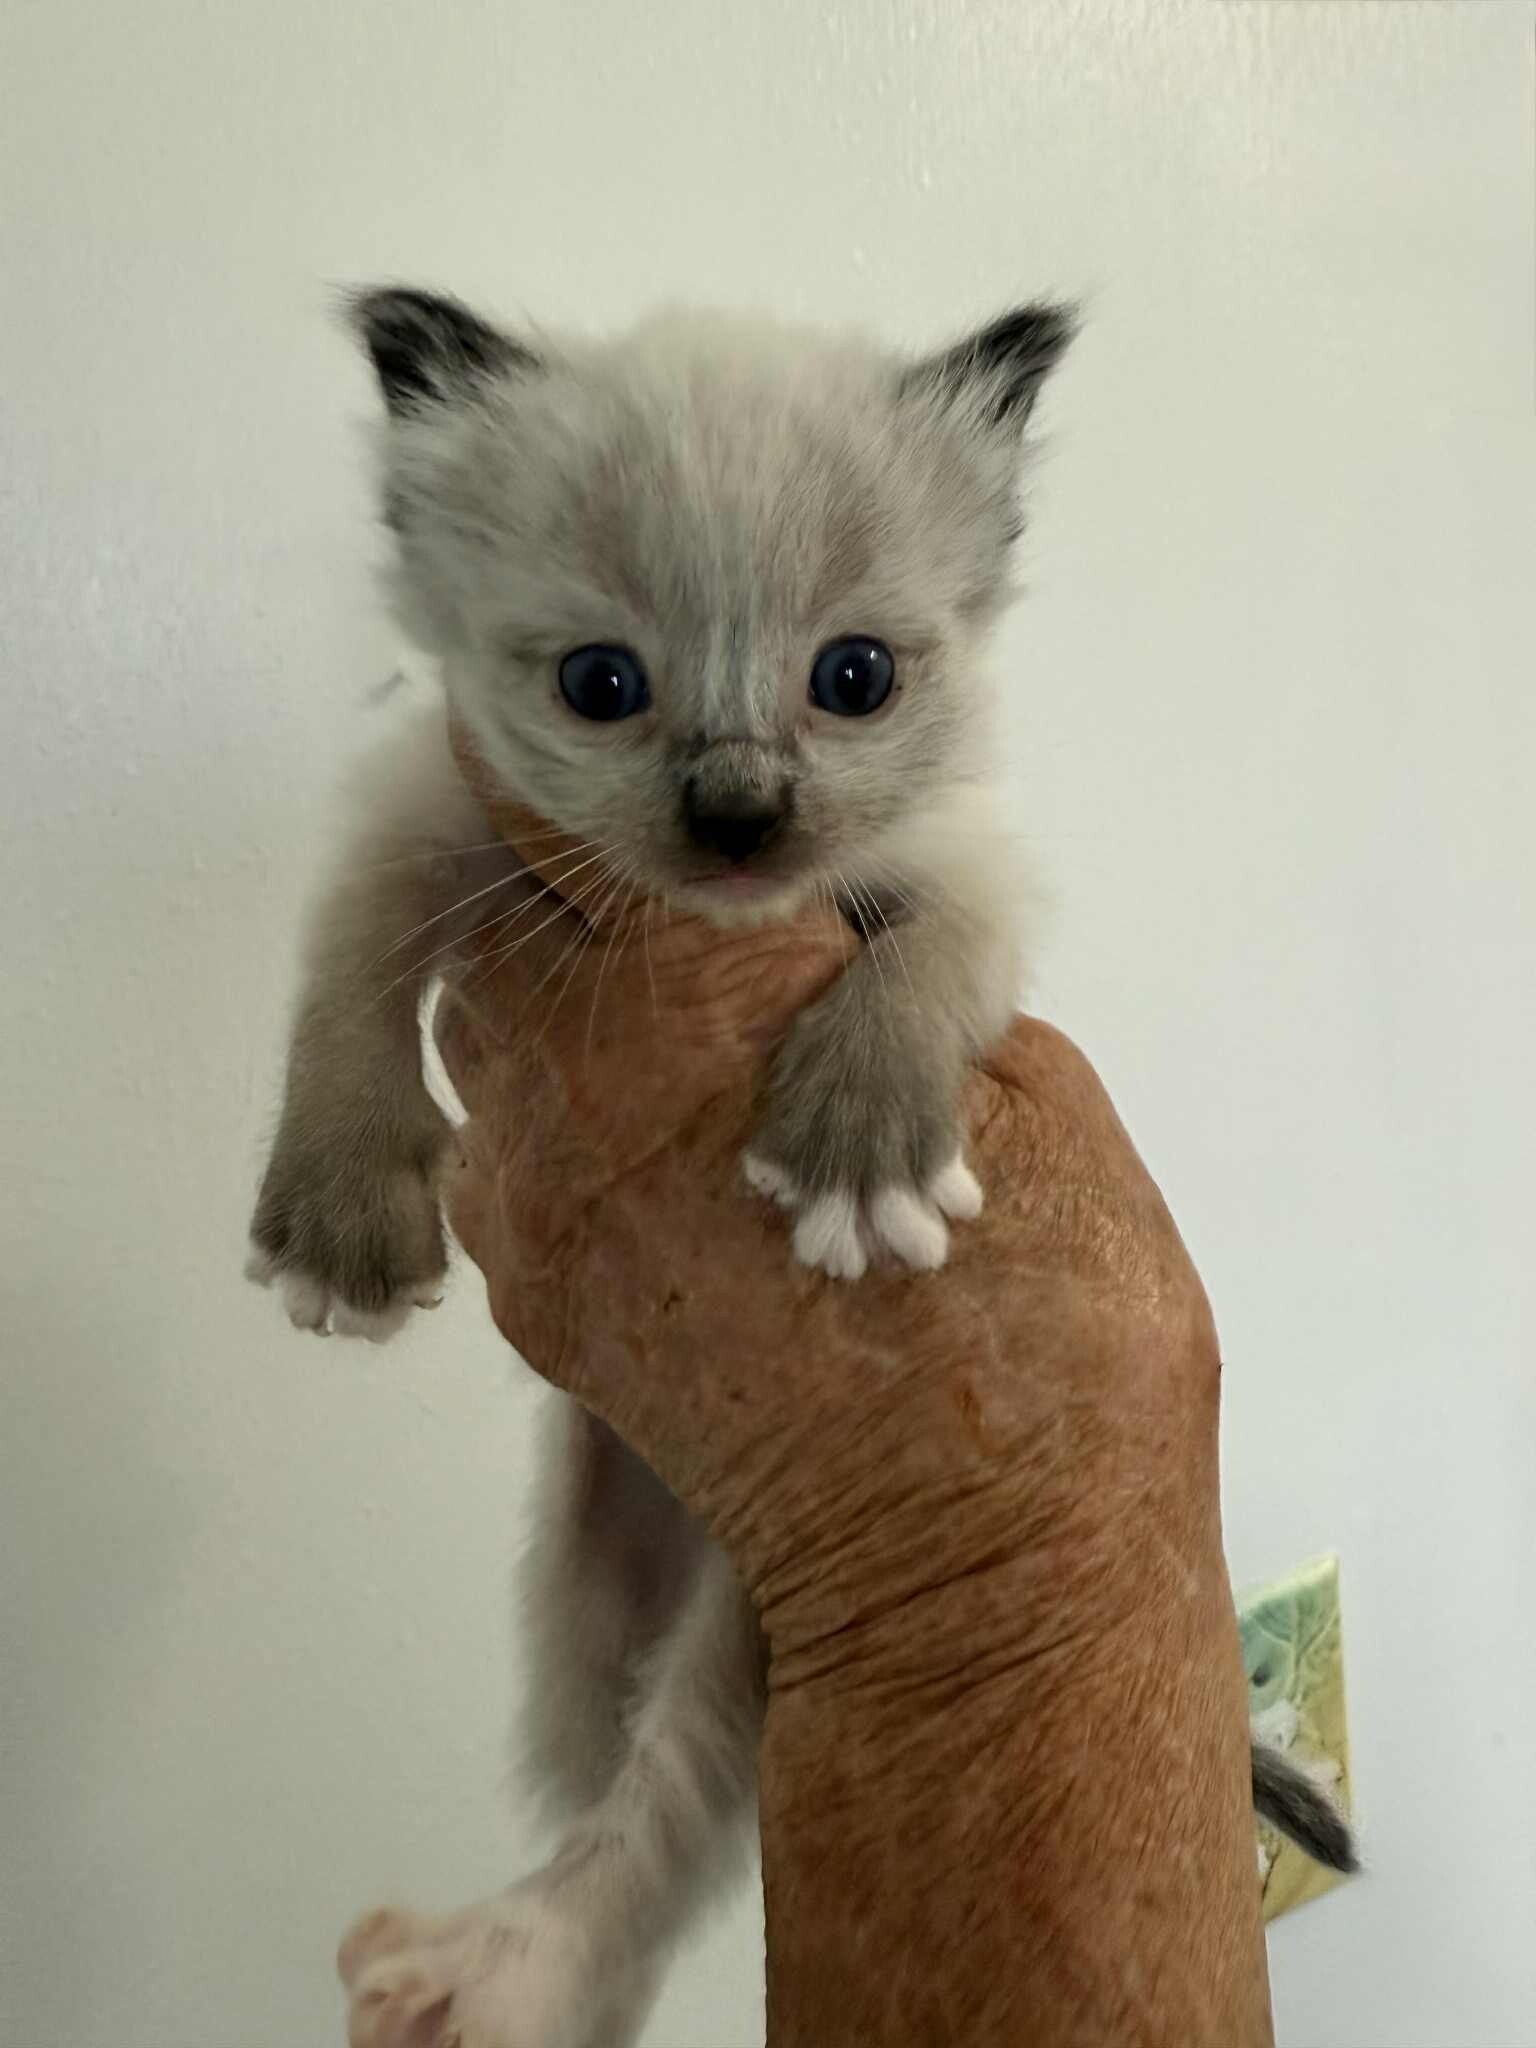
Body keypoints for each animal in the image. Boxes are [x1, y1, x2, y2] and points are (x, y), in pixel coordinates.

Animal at [249, 288, 1354, 2048]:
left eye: (855, 677)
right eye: (601, 683)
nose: (741, 814)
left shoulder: (958, 864)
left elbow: (920, 969)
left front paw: (856, 1161)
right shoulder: (427, 815)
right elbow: (347, 973)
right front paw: (342, 1221)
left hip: (751, 1631)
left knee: (671, 1811)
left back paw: (494, 1977)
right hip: (581, 1611)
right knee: (611, 1774)